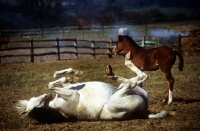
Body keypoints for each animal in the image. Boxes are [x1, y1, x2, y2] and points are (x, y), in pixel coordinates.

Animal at [14, 51, 170, 122]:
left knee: (139, 77)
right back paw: (112, 71)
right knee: (133, 81)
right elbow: (51, 84)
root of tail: (143, 112)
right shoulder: (70, 94)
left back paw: (125, 59)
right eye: (36, 107)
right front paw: (70, 76)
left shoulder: (67, 88)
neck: (54, 105)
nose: (46, 96)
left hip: (130, 89)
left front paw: (74, 75)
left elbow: (59, 78)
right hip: (119, 96)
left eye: (35, 103)